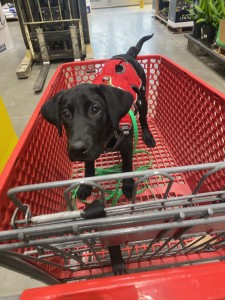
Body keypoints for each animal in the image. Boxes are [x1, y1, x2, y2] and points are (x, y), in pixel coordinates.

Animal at [40, 35, 155, 199]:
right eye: (65, 114)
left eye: (95, 110)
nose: (76, 149)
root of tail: (127, 55)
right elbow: (89, 167)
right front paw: (86, 186)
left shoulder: (127, 146)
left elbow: (127, 166)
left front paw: (128, 185)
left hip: (142, 97)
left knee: (143, 119)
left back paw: (147, 136)